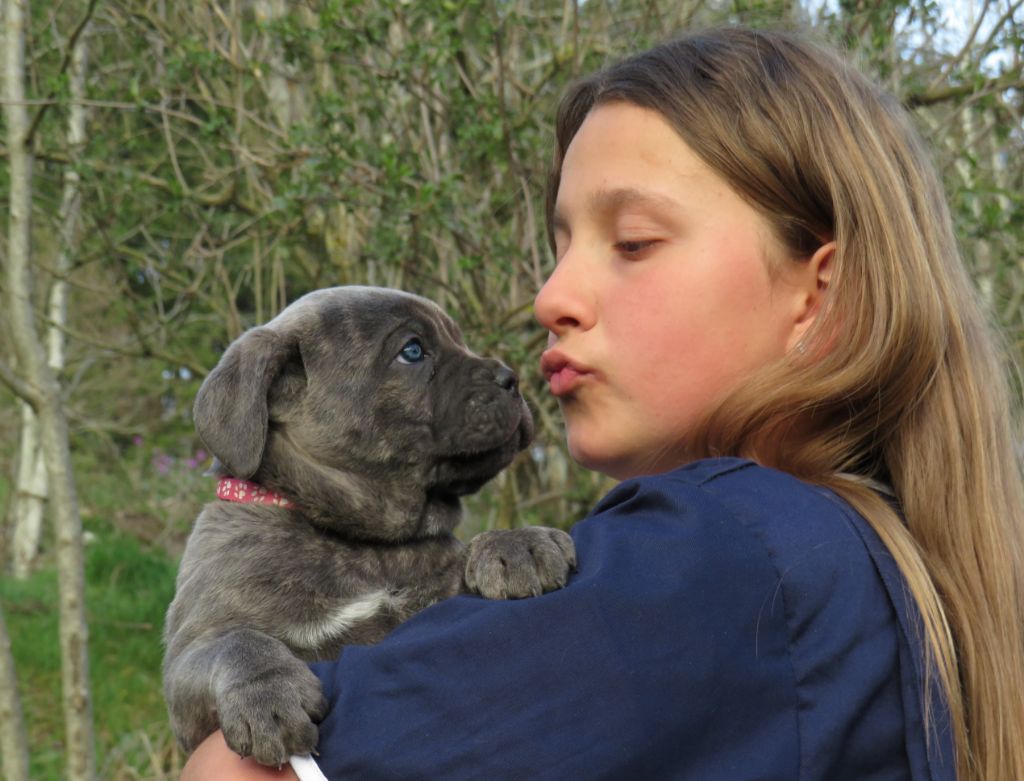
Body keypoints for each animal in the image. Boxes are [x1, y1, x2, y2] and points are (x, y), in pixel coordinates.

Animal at [163, 286, 573, 765]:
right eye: (412, 351)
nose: (512, 379)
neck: (363, 541)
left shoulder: (433, 595)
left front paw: (516, 543)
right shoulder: (188, 663)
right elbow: (235, 643)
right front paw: (266, 694)